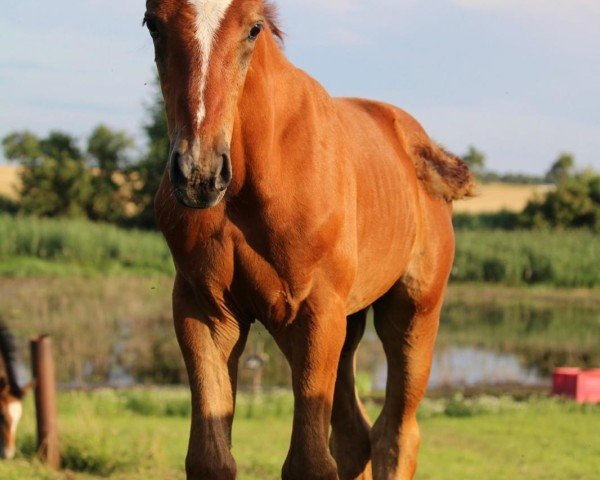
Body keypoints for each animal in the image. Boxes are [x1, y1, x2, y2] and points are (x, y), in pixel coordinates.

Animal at [145, 1, 474, 478]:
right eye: (153, 23)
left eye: (254, 29)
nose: (199, 174)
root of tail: (419, 145)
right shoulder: (205, 310)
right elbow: (210, 459)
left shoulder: (316, 310)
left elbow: (310, 463)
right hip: (344, 325)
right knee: (355, 435)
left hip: (412, 311)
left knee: (396, 434)